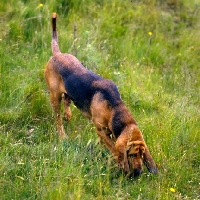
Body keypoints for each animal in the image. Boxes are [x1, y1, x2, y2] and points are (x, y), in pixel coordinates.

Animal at [45, 12, 158, 177]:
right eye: (132, 154)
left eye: (142, 155)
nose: (138, 172)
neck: (114, 107)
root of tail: (57, 54)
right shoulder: (101, 131)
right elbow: (114, 150)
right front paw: (120, 164)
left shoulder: (107, 133)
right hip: (54, 97)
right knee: (58, 118)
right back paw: (62, 134)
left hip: (68, 92)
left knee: (67, 101)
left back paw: (68, 115)